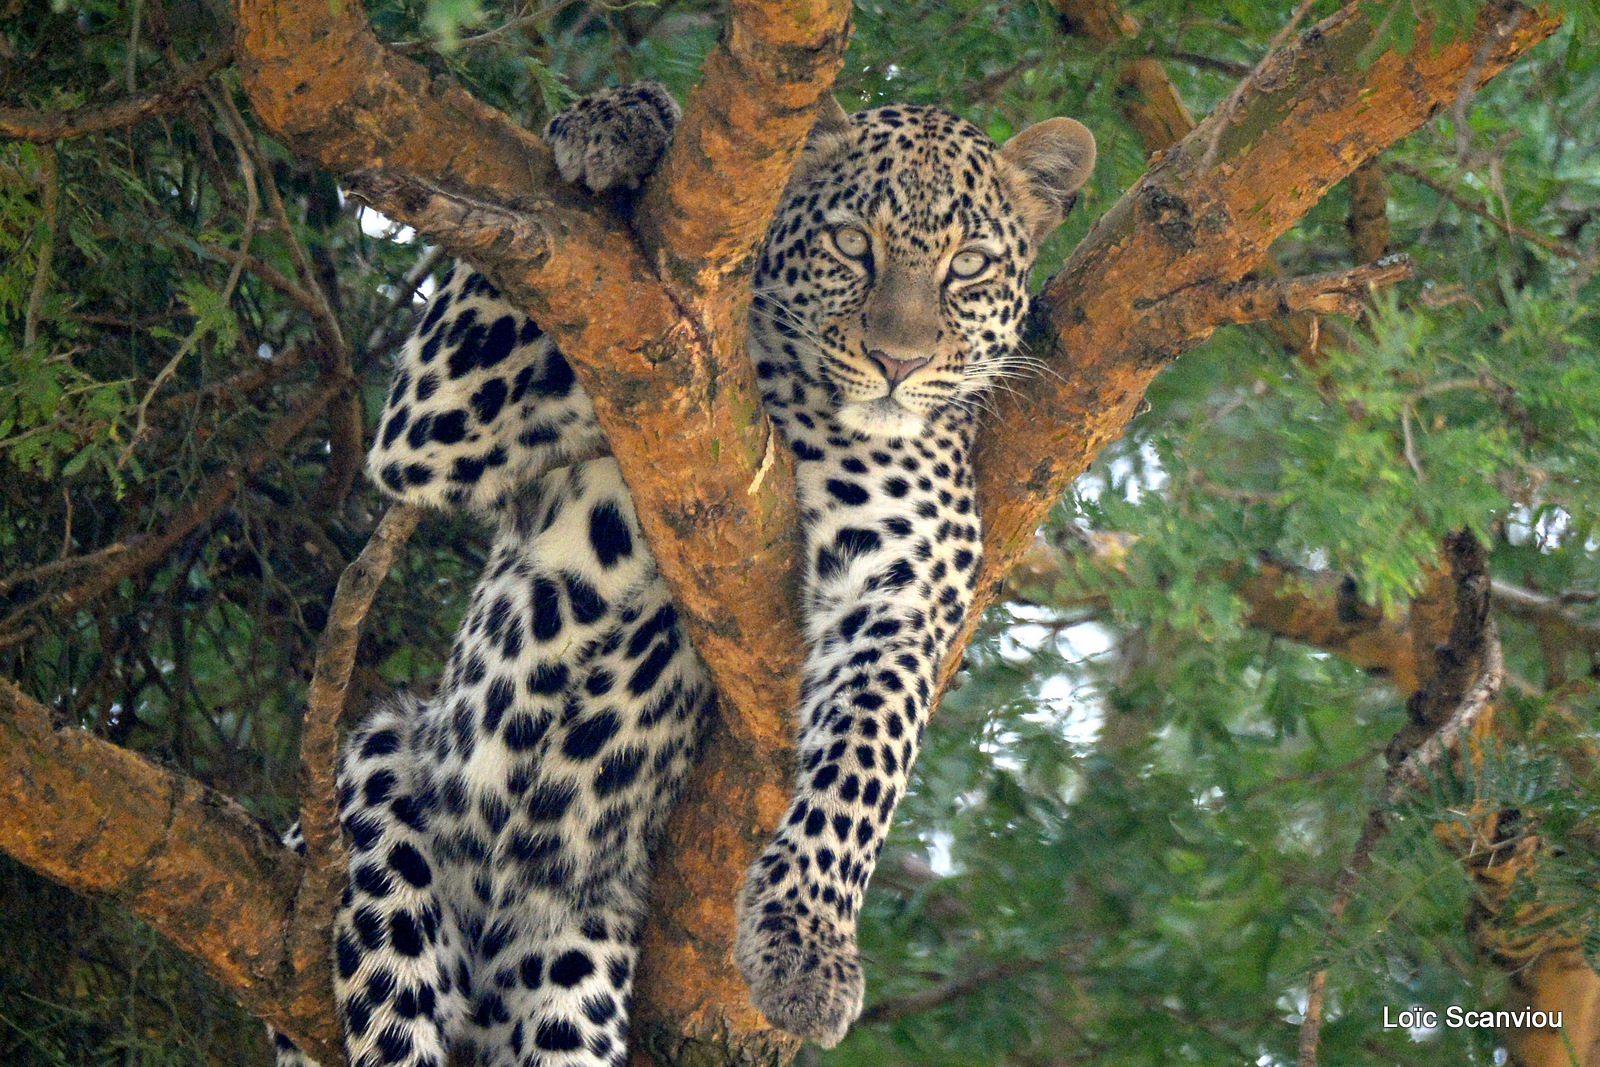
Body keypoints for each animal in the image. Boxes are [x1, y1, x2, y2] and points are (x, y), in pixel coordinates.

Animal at [278, 81, 1100, 1067]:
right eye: (851, 243)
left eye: (968, 265)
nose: (898, 363)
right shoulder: (438, 426)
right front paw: (624, 125)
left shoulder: (905, 587)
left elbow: (863, 766)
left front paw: (805, 947)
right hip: (375, 792)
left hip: (574, 973)